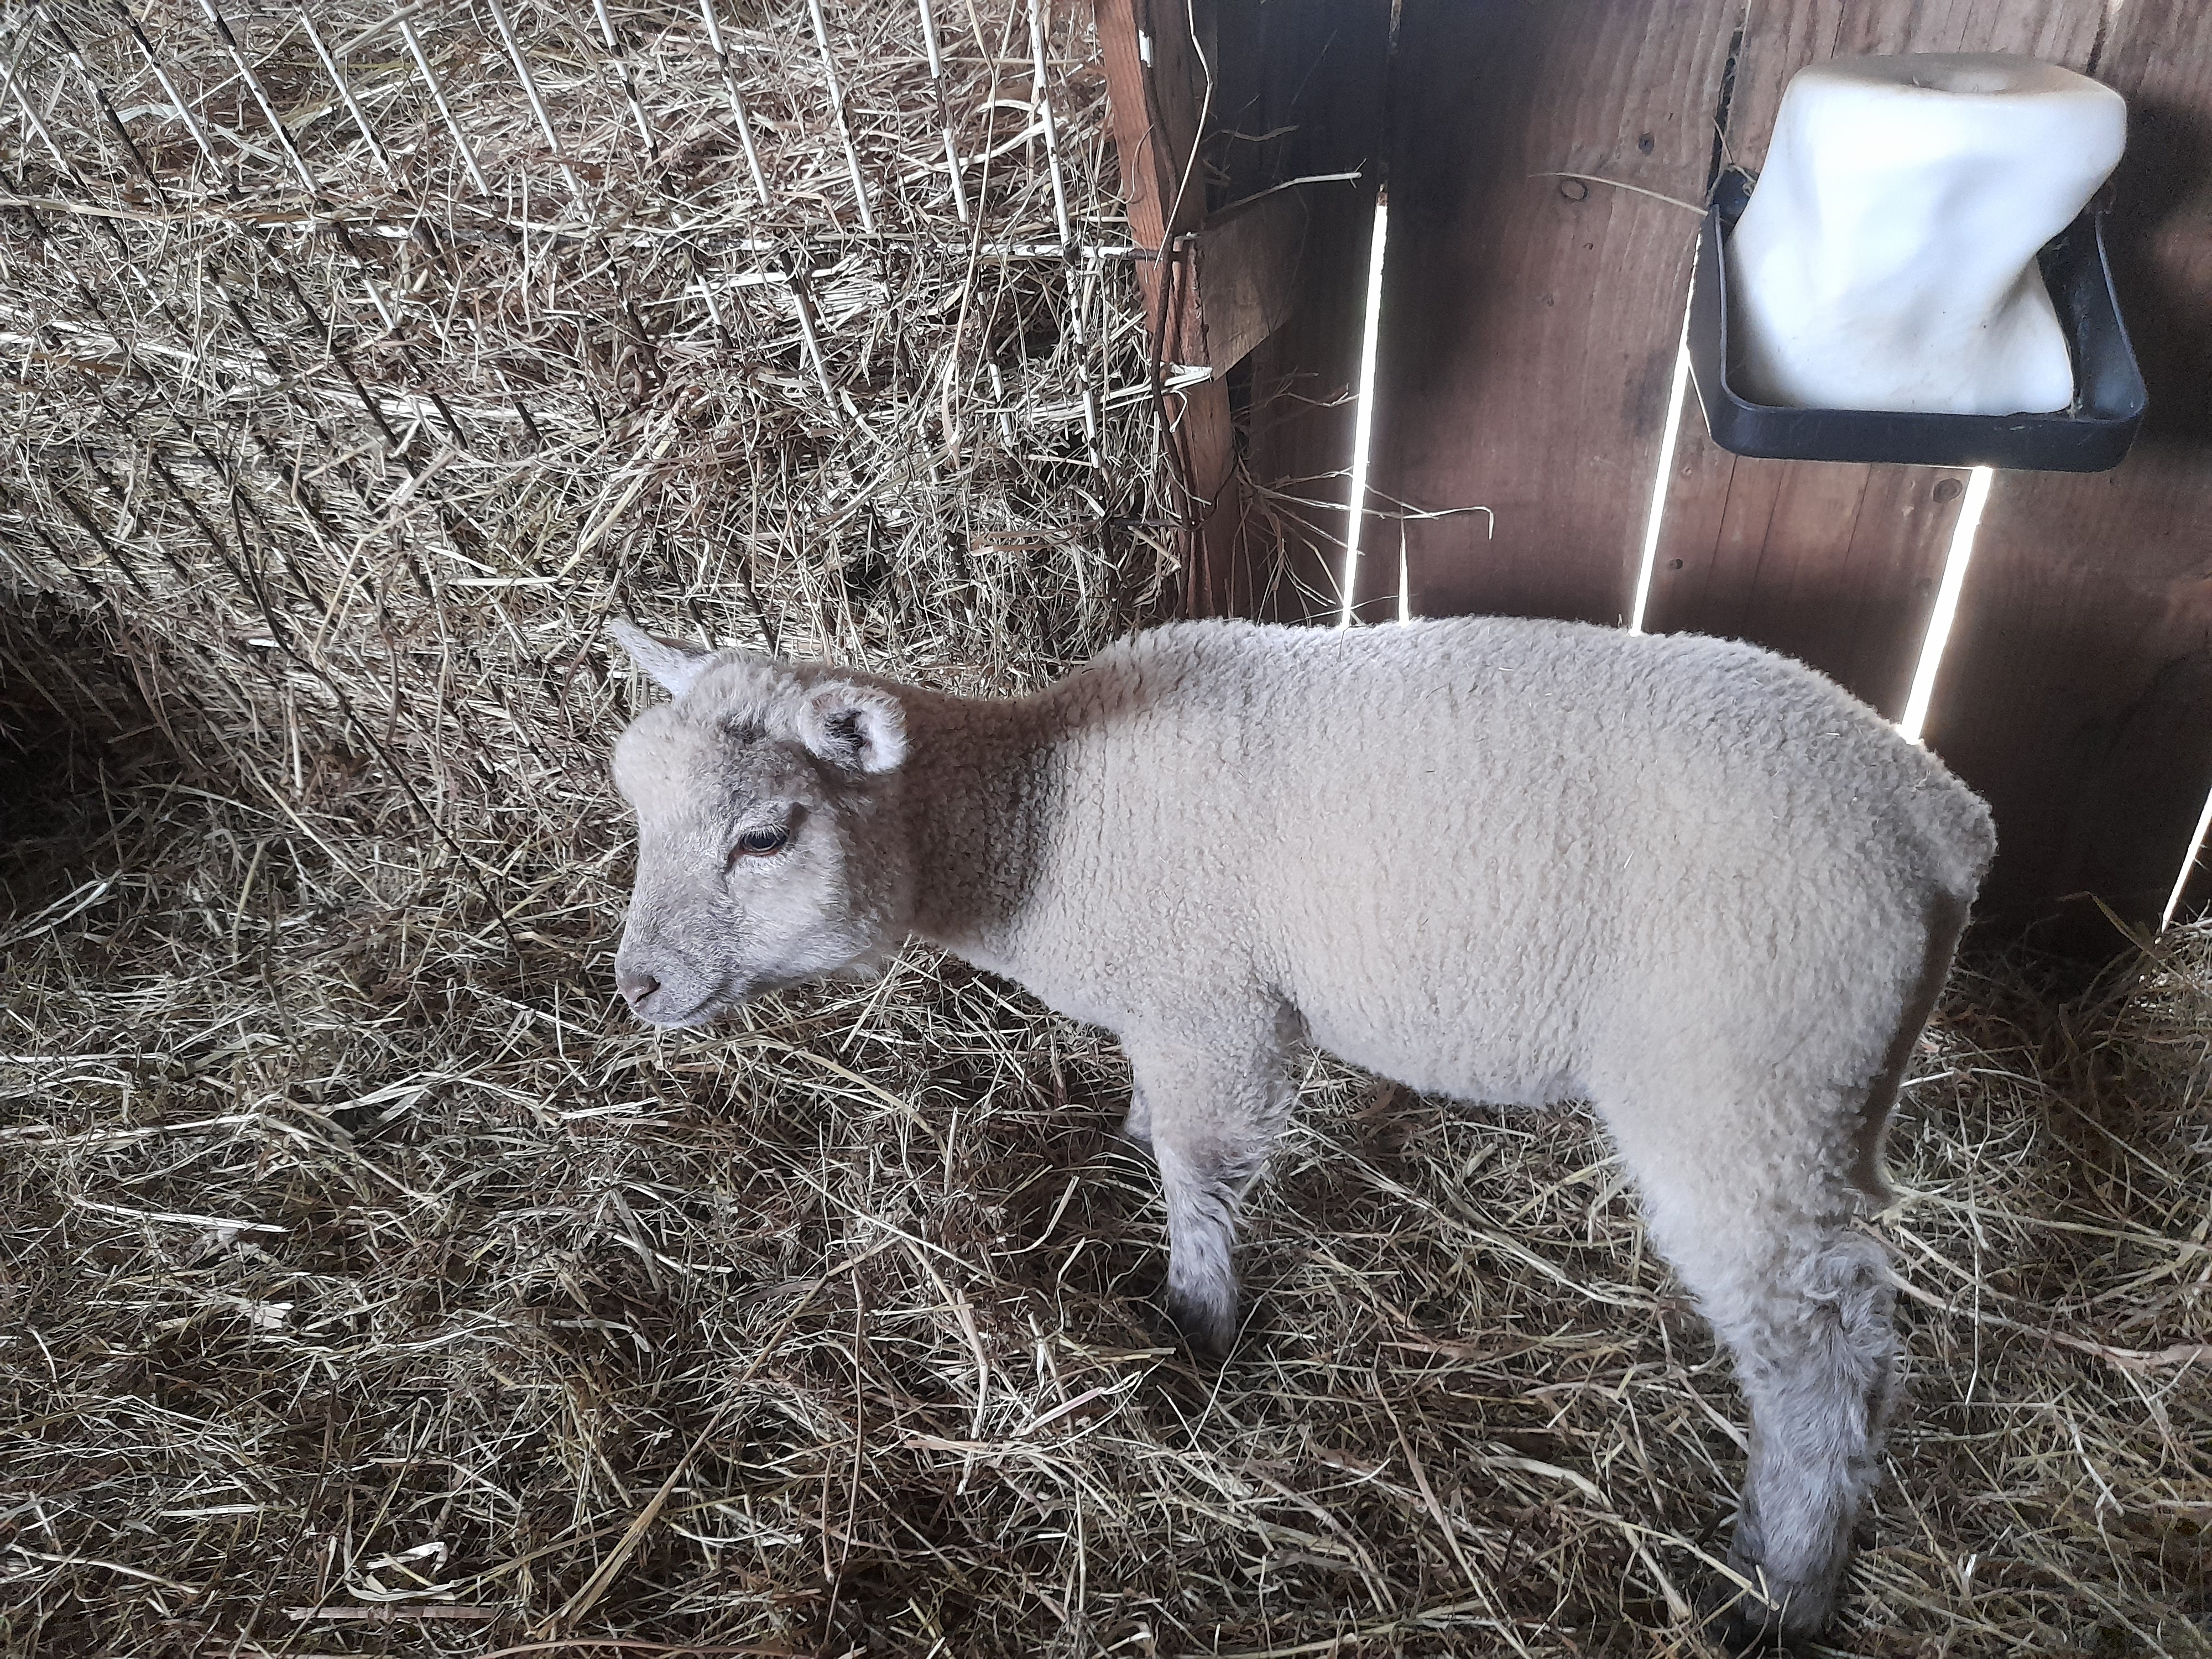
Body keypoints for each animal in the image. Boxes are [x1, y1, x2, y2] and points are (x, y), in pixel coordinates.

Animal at [604, 613, 1995, 1648]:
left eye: (765, 833)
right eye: (638, 808)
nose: (637, 987)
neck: (1042, 819)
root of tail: (1935, 811)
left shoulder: (1213, 1009)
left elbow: (1200, 1170)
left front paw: (1195, 1329)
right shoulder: (1180, 1017)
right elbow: (1157, 1128)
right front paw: (1130, 1162)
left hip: (1741, 1083)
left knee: (1818, 1345)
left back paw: (1780, 1585)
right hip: (1821, 1090)